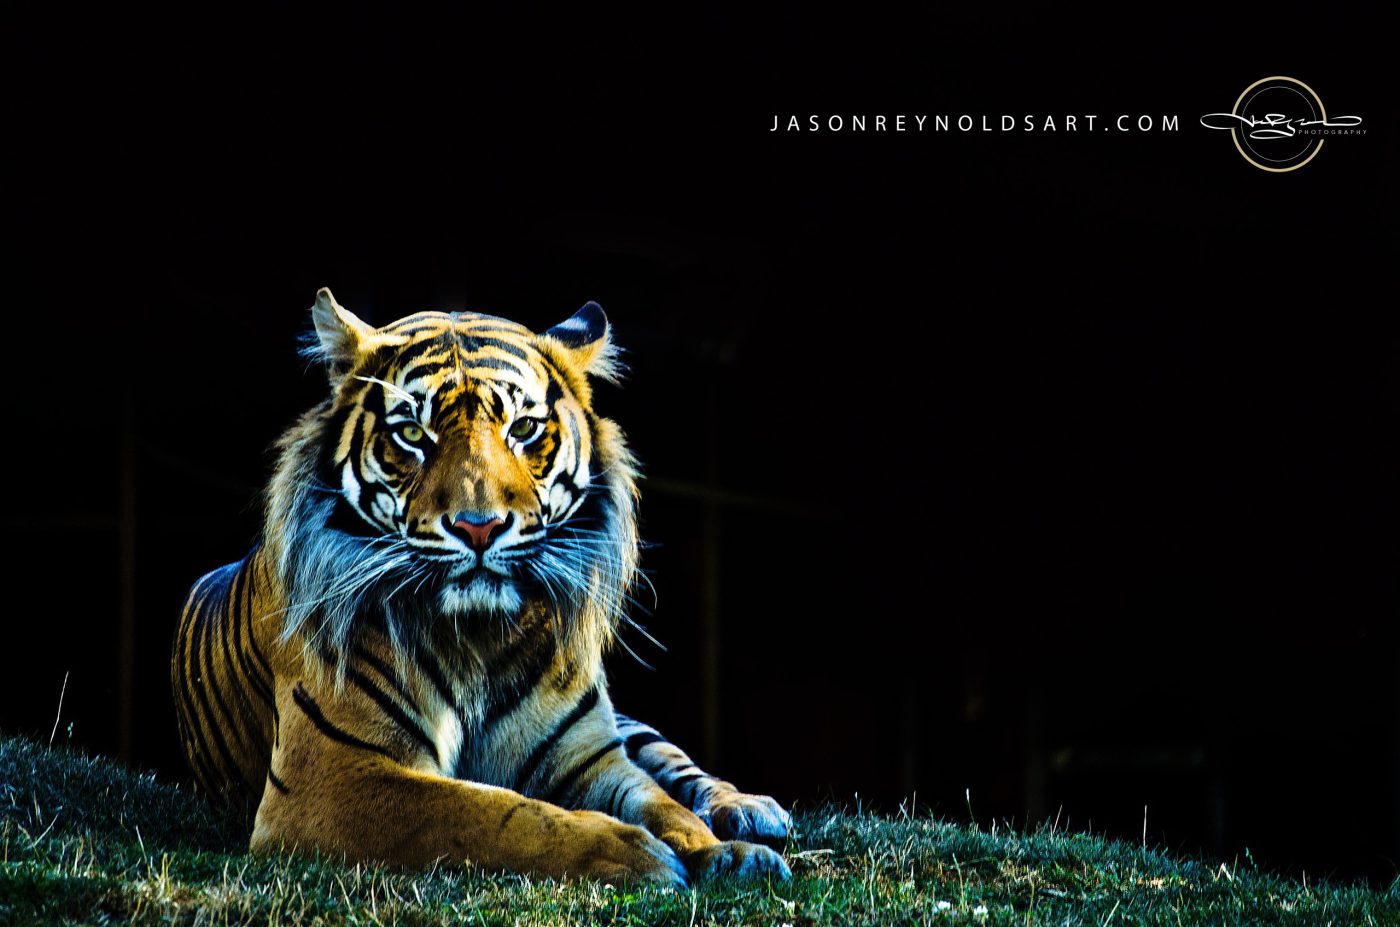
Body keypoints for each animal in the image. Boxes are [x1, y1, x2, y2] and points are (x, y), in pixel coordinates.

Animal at [170, 288, 791, 885]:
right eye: (412, 434)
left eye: (523, 429)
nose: (479, 527)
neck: (479, 638)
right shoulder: (334, 775)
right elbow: (497, 814)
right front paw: (637, 853)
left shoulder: (591, 756)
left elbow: (665, 806)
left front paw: (727, 853)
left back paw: (751, 811)